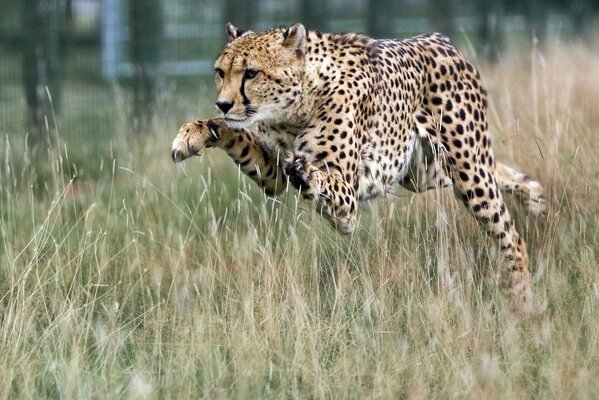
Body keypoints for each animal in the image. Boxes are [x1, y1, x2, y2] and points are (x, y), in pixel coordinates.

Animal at [171, 23, 548, 310]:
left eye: (251, 73)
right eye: (221, 73)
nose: (223, 103)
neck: (293, 110)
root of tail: (439, 38)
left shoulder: (347, 204)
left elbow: (321, 179)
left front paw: (306, 172)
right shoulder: (272, 171)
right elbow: (237, 135)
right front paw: (194, 133)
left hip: (468, 171)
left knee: (510, 234)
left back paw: (522, 301)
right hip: (426, 172)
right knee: (498, 172)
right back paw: (534, 196)